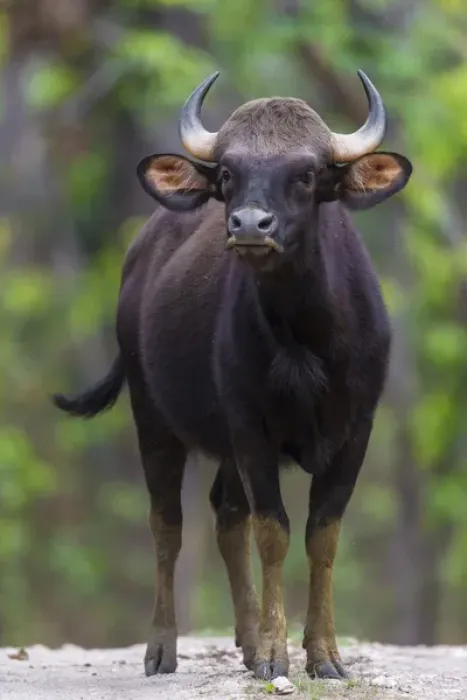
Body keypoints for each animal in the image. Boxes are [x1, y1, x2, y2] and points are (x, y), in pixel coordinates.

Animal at [54, 70, 412, 682]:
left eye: (308, 173)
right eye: (227, 172)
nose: (249, 224)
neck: (302, 341)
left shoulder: (356, 429)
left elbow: (323, 535)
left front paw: (323, 654)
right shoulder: (251, 428)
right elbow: (274, 530)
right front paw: (274, 653)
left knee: (225, 516)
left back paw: (244, 638)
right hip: (153, 417)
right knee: (168, 523)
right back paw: (163, 648)